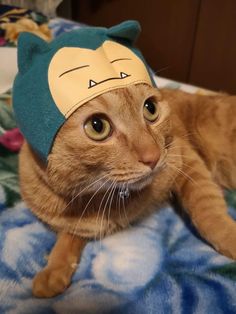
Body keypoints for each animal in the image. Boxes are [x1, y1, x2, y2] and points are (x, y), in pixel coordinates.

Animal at [18, 84, 236, 298]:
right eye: (97, 126)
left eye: (150, 108)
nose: (153, 157)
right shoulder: (79, 224)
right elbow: (67, 240)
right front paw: (54, 269)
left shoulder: (184, 158)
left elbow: (207, 211)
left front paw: (229, 236)